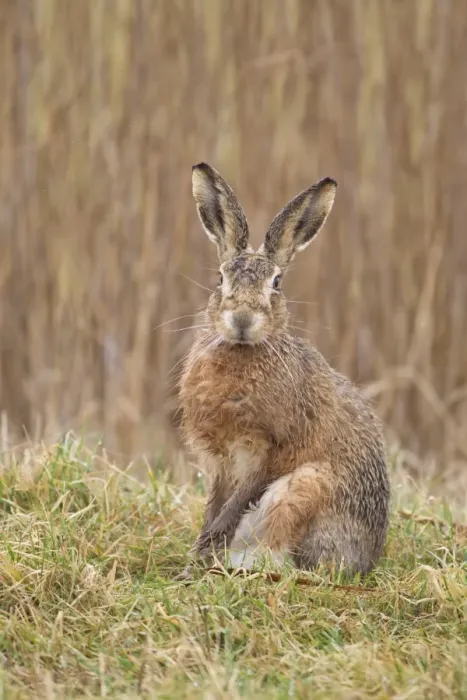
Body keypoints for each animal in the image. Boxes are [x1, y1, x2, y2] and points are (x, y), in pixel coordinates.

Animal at [178, 162, 390, 578]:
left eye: (276, 283)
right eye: (220, 279)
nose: (242, 319)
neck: (243, 353)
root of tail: (364, 561)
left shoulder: (267, 450)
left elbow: (231, 508)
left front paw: (199, 560)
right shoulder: (221, 463)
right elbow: (214, 507)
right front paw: (196, 557)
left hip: (303, 488)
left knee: (286, 559)